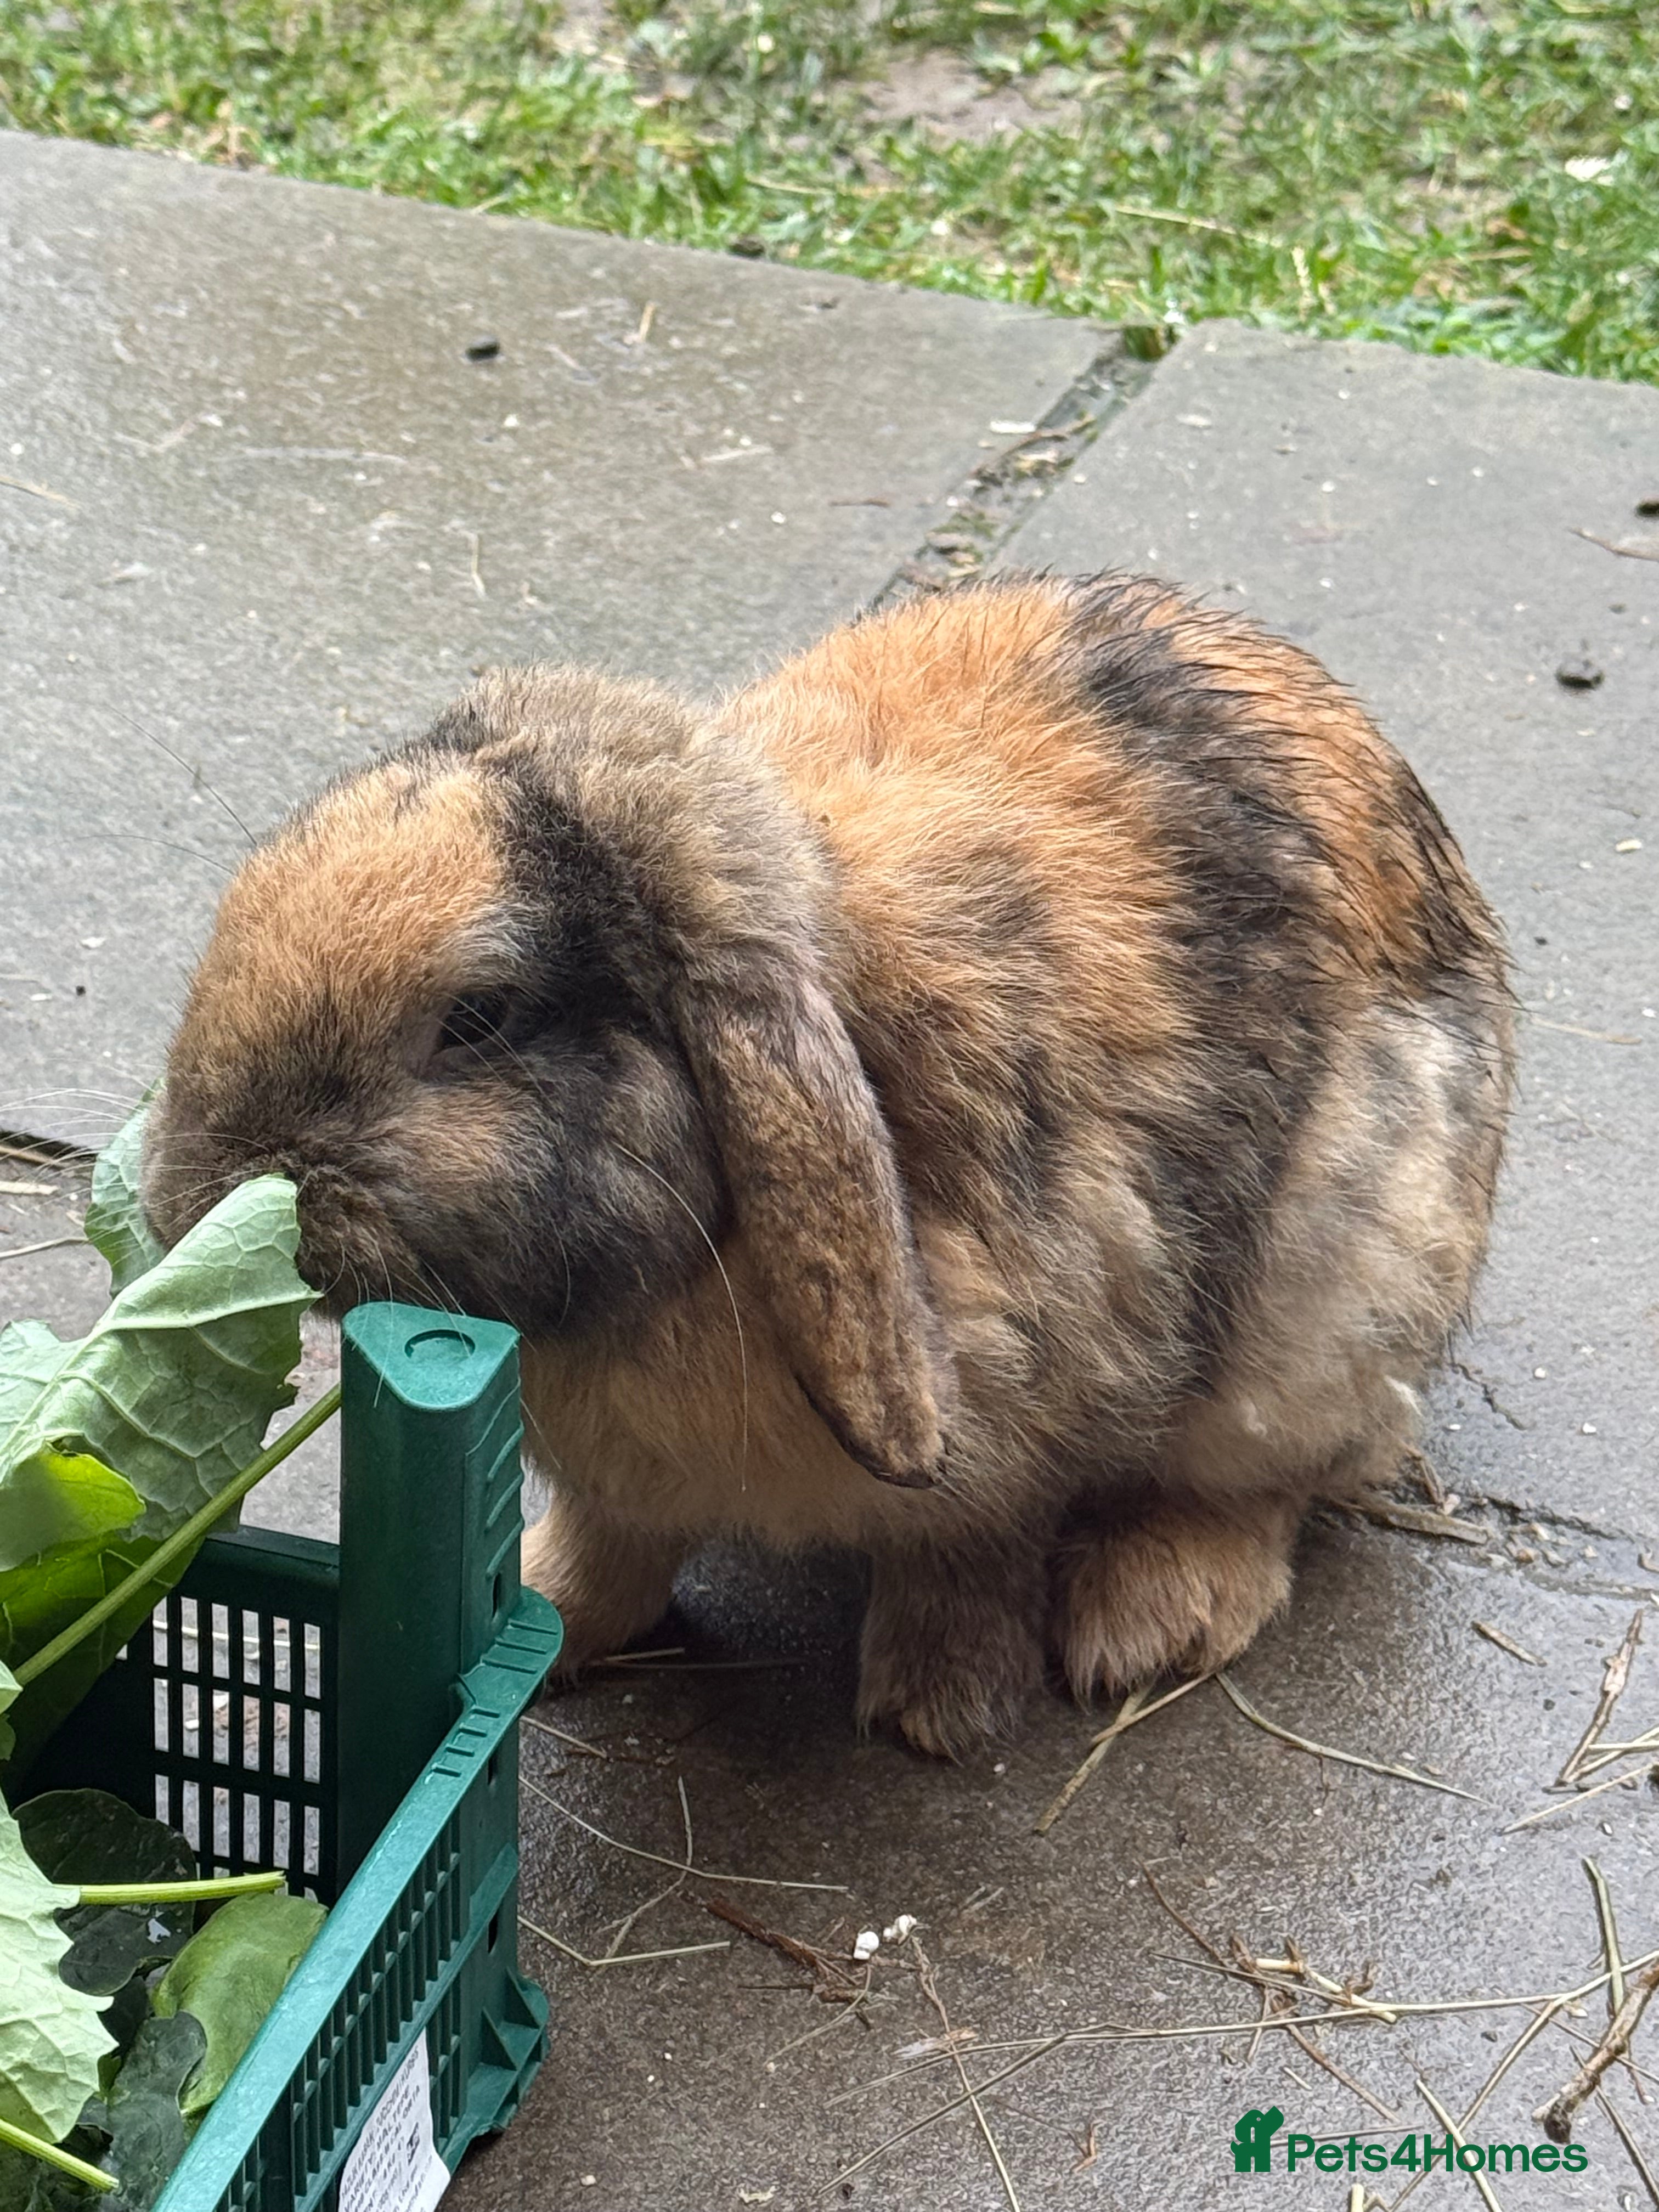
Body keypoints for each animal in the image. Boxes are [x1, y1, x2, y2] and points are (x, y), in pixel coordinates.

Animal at [142, 571, 1514, 1756]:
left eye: (475, 1017)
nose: (185, 1201)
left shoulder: (1022, 1411)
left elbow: (965, 1551)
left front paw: (932, 1712)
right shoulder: (619, 1486)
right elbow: (610, 1548)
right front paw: (537, 1621)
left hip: (1329, 1312)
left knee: (1277, 1479)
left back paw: (1150, 1623)